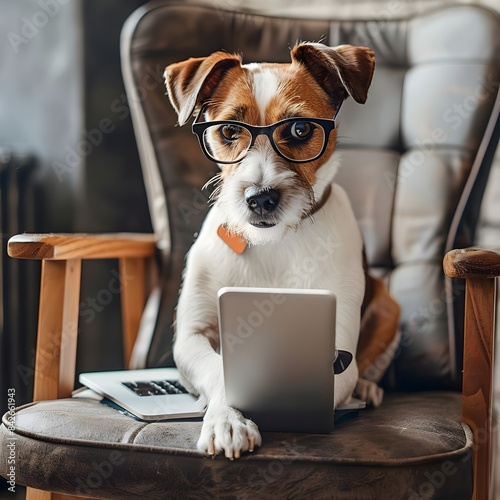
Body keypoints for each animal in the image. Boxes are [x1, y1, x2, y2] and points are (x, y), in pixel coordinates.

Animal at [166, 44, 376, 460]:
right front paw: (227, 420)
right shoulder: (191, 336)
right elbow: (218, 369)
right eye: (230, 130)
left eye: (300, 129)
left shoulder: (338, 347)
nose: (260, 198)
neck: (276, 242)